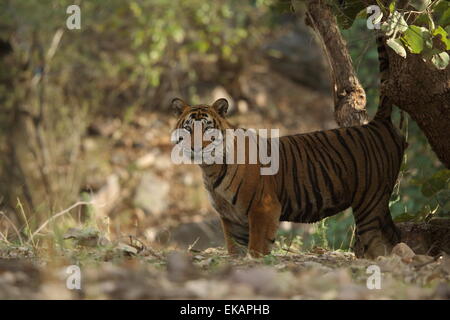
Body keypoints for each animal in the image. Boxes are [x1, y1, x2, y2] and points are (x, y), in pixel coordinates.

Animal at [171, 35, 406, 260]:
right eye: (189, 129)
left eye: (208, 130)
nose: (196, 148)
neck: (210, 168)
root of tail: (377, 123)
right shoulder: (230, 218)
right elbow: (234, 250)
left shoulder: (263, 207)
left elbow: (256, 248)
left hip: (369, 200)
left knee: (375, 241)